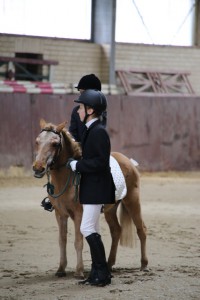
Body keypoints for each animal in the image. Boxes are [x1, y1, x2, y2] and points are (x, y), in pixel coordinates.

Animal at [32, 118, 148, 278]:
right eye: (37, 141)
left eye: (55, 144)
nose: (38, 168)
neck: (67, 178)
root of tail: (129, 162)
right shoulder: (60, 214)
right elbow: (62, 240)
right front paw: (61, 269)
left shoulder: (79, 214)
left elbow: (78, 241)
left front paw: (79, 271)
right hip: (110, 209)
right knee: (116, 231)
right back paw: (109, 264)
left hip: (132, 201)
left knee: (141, 229)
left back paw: (144, 265)